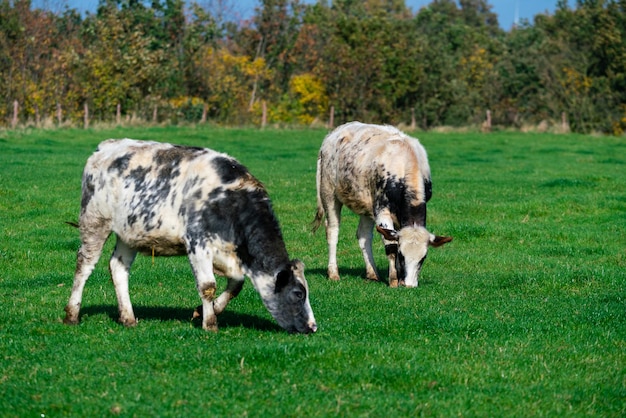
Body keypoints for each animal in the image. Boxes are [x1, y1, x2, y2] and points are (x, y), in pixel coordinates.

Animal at [64, 139, 316, 334]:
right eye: (298, 293)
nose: (313, 327)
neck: (229, 198)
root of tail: (106, 146)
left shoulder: (229, 255)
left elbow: (236, 285)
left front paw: (205, 310)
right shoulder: (198, 243)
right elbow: (208, 285)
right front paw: (210, 323)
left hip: (129, 233)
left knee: (118, 267)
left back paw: (128, 317)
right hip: (94, 221)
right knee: (84, 265)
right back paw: (72, 314)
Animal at [310, 121, 448, 288]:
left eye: (423, 258)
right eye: (402, 255)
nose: (409, 285)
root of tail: (333, 134)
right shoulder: (382, 211)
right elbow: (390, 244)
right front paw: (394, 280)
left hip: (367, 205)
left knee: (363, 235)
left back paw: (372, 274)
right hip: (329, 193)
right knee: (332, 231)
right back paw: (333, 273)